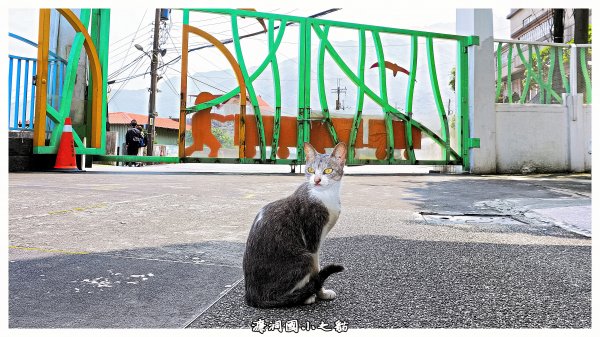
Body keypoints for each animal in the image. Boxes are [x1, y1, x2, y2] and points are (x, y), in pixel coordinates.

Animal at [243, 142, 346, 308]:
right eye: (310, 170)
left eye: (328, 170)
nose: (317, 180)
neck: (325, 195)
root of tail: (252, 296)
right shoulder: (312, 241)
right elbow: (316, 271)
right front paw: (321, 293)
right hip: (304, 258)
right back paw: (303, 296)